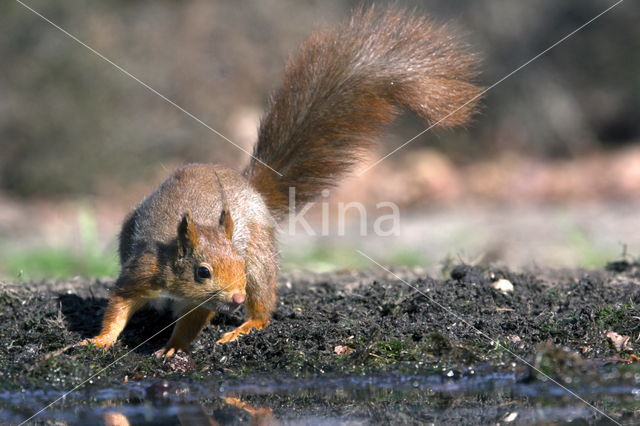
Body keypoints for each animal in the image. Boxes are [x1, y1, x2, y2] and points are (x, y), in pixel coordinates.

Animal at [81, 8, 480, 358]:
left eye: (237, 265)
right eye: (202, 272)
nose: (236, 298)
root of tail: (250, 189)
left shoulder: (209, 297)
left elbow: (193, 320)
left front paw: (176, 347)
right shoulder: (142, 271)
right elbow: (119, 305)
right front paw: (99, 341)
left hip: (260, 257)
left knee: (262, 309)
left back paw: (245, 326)